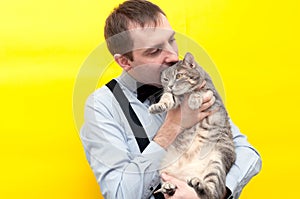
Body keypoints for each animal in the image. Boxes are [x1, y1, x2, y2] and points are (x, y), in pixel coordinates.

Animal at [149, 52, 236, 198]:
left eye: (179, 76)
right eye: (166, 79)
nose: (170, 85)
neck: (184, 95)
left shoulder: (213, 95)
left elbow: (198, 91)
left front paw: (194, 100)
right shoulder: (173, 96)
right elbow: (167, 96)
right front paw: (158, 106)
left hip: (216, 163)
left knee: (213, 194)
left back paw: (198, 184)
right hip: (165, 167)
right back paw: (168, 186)